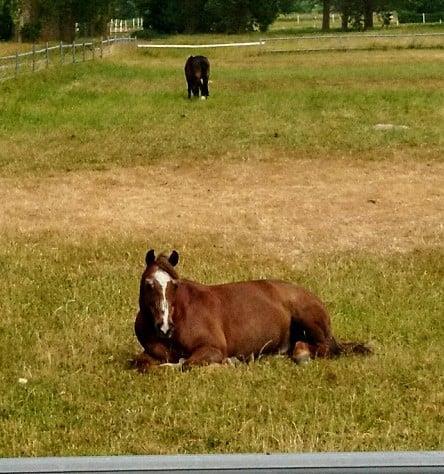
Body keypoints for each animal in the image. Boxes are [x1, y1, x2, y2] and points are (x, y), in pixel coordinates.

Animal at [134, 250, 370, 368]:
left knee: (326, 348)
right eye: (148, 284)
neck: (182, 313)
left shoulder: (212, 349)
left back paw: (302, 354)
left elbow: (185, 364)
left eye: (175, 284)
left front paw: (229, 363)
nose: (165, 327)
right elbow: (142, 363)